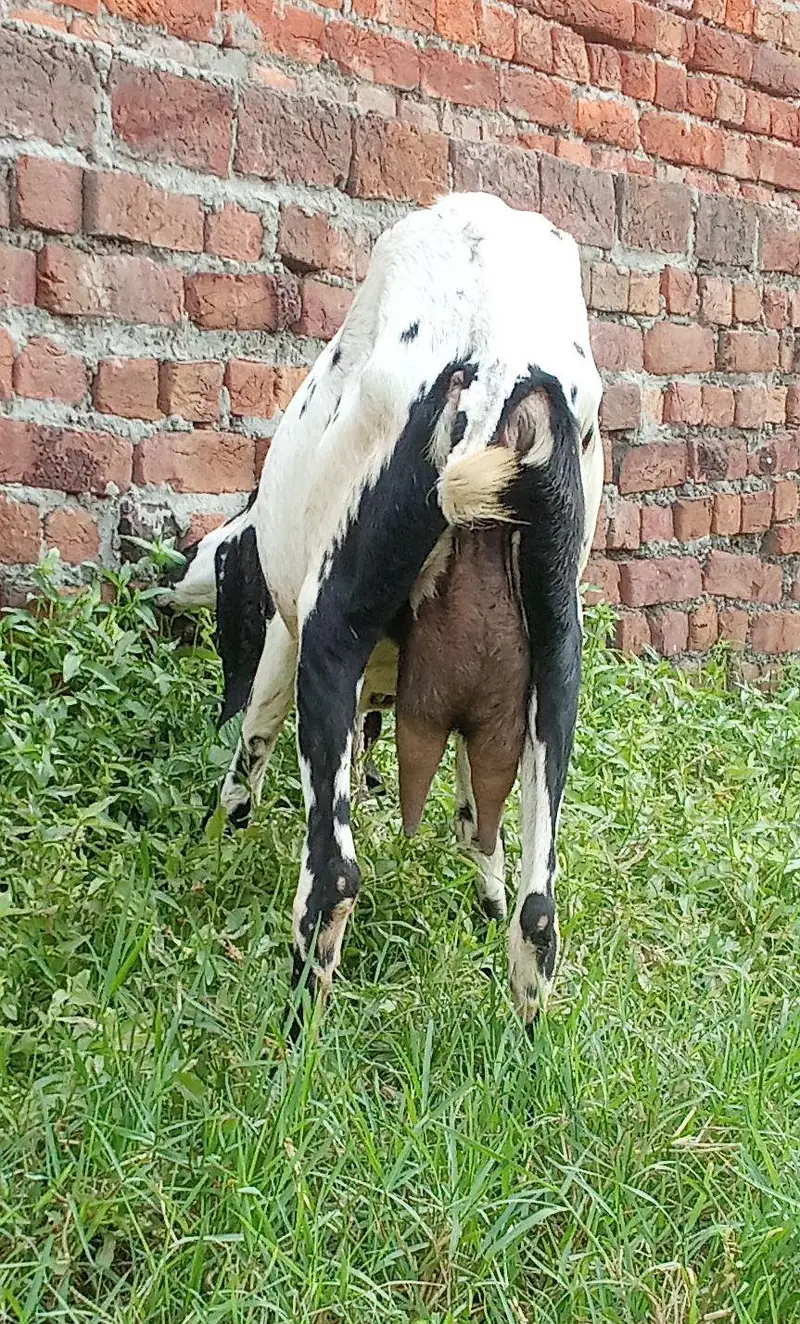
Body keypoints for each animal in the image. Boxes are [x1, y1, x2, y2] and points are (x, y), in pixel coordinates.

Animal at [171, 191, 603, 1025]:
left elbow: (249, 744)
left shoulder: (284, 639)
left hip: (330, 640)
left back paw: (292, 1042)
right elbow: (480, 822)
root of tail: (495, 366)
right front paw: (484, 890)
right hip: (557, 670)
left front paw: (211, 844)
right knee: (539, 917)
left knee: (333, 880)